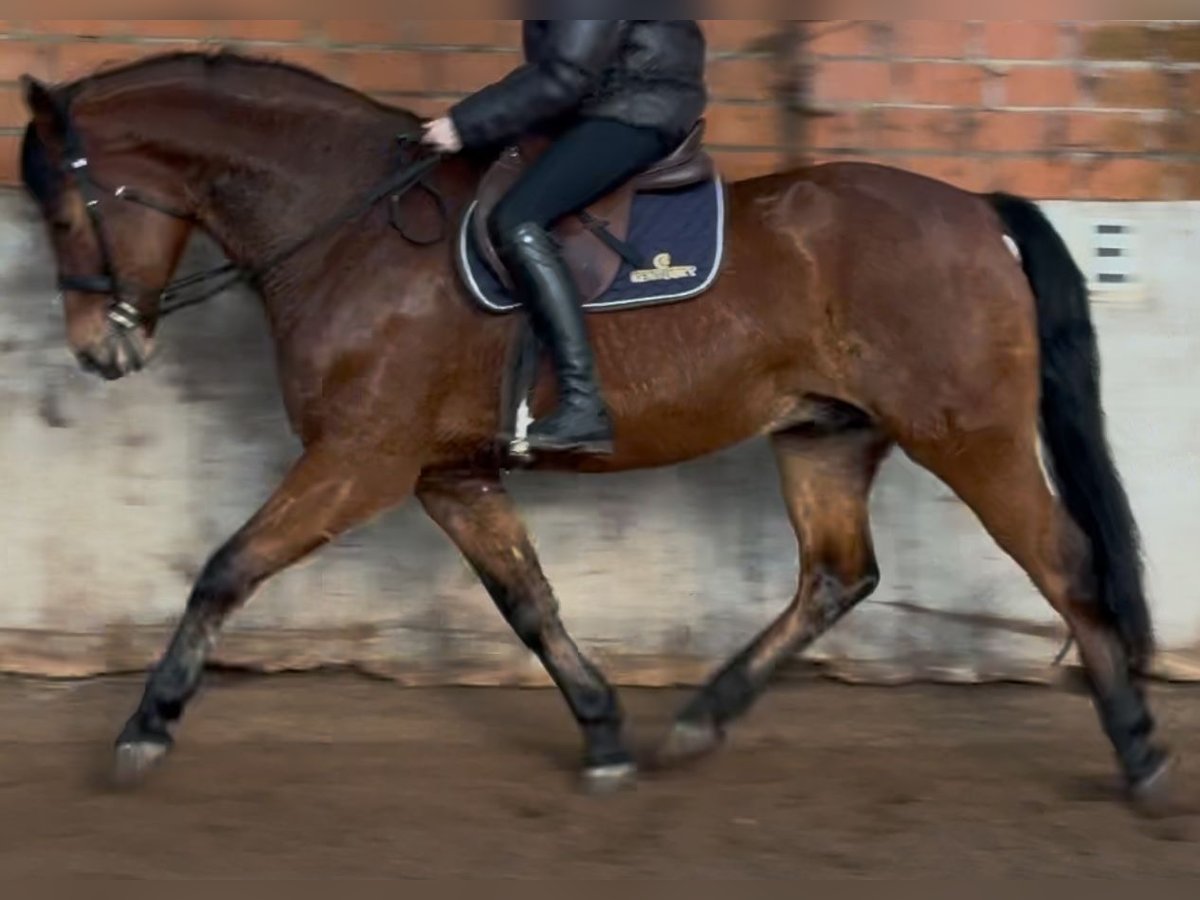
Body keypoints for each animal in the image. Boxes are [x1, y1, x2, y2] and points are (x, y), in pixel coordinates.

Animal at [18, 52, 1171, 806]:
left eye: (68, 212)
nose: (101, 353)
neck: (350, 227)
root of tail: (974, 210)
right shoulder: (448, 474)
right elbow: (528, 602)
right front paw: (606, 734)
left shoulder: (361, 459)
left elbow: (224, 571)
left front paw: (145, 729)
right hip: (824, 435)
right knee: (837, 577)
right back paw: (698, 721)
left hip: (969, 434)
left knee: (1066, 564)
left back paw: (1142, 752)